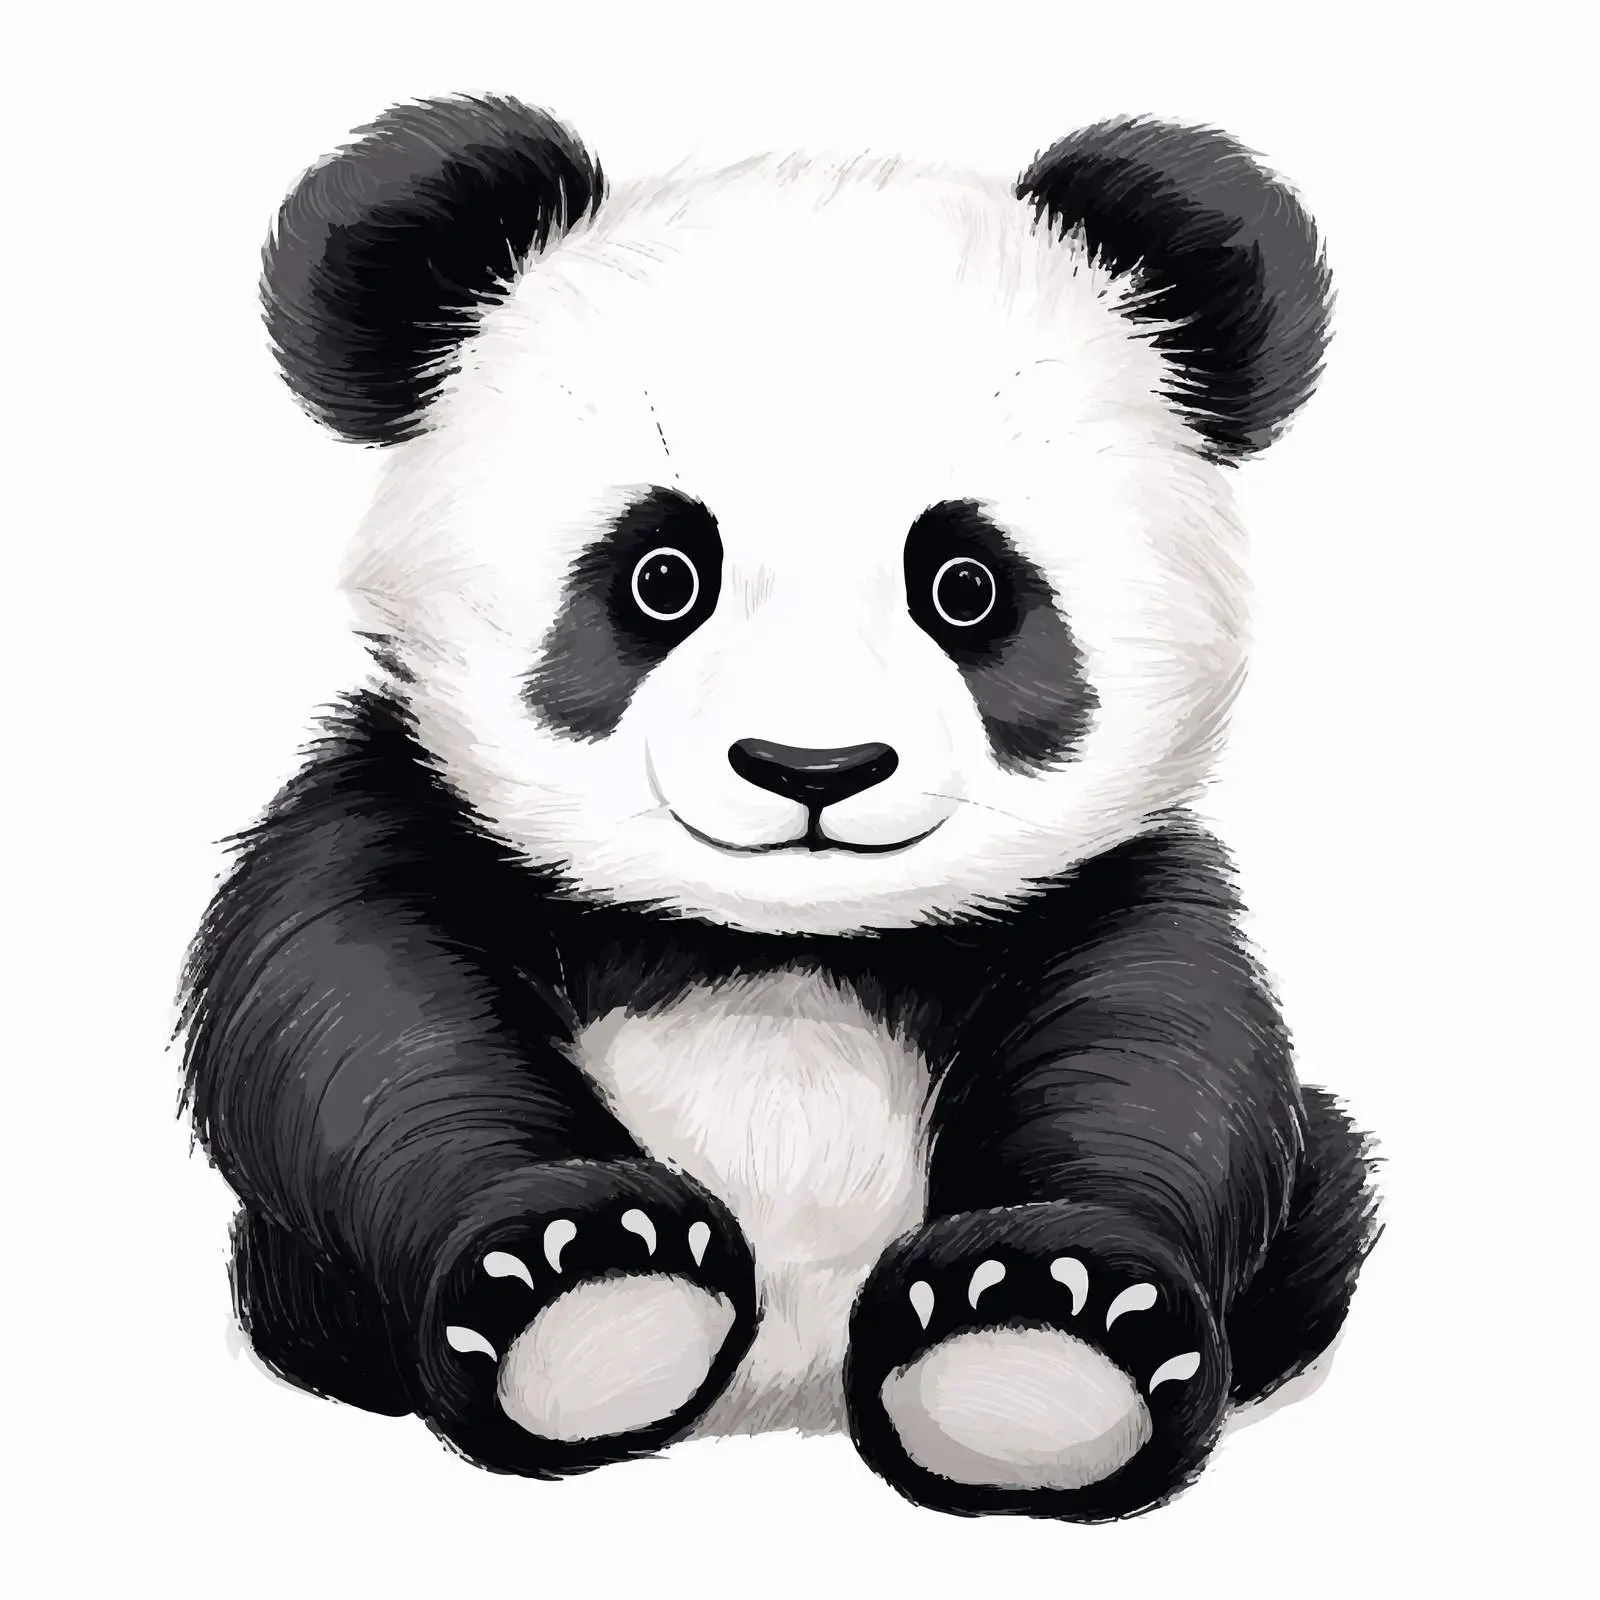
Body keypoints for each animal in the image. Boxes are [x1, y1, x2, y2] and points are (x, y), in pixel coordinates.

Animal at [181, 93, 1380, 1524]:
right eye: (660, 576)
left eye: (966, 586)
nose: (814, 767)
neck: (773, 943)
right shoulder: (399, 806)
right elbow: (350, 1021)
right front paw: (580, 1274)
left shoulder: (1115, 886)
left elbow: (1167, 1058)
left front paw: (1045, 1328)